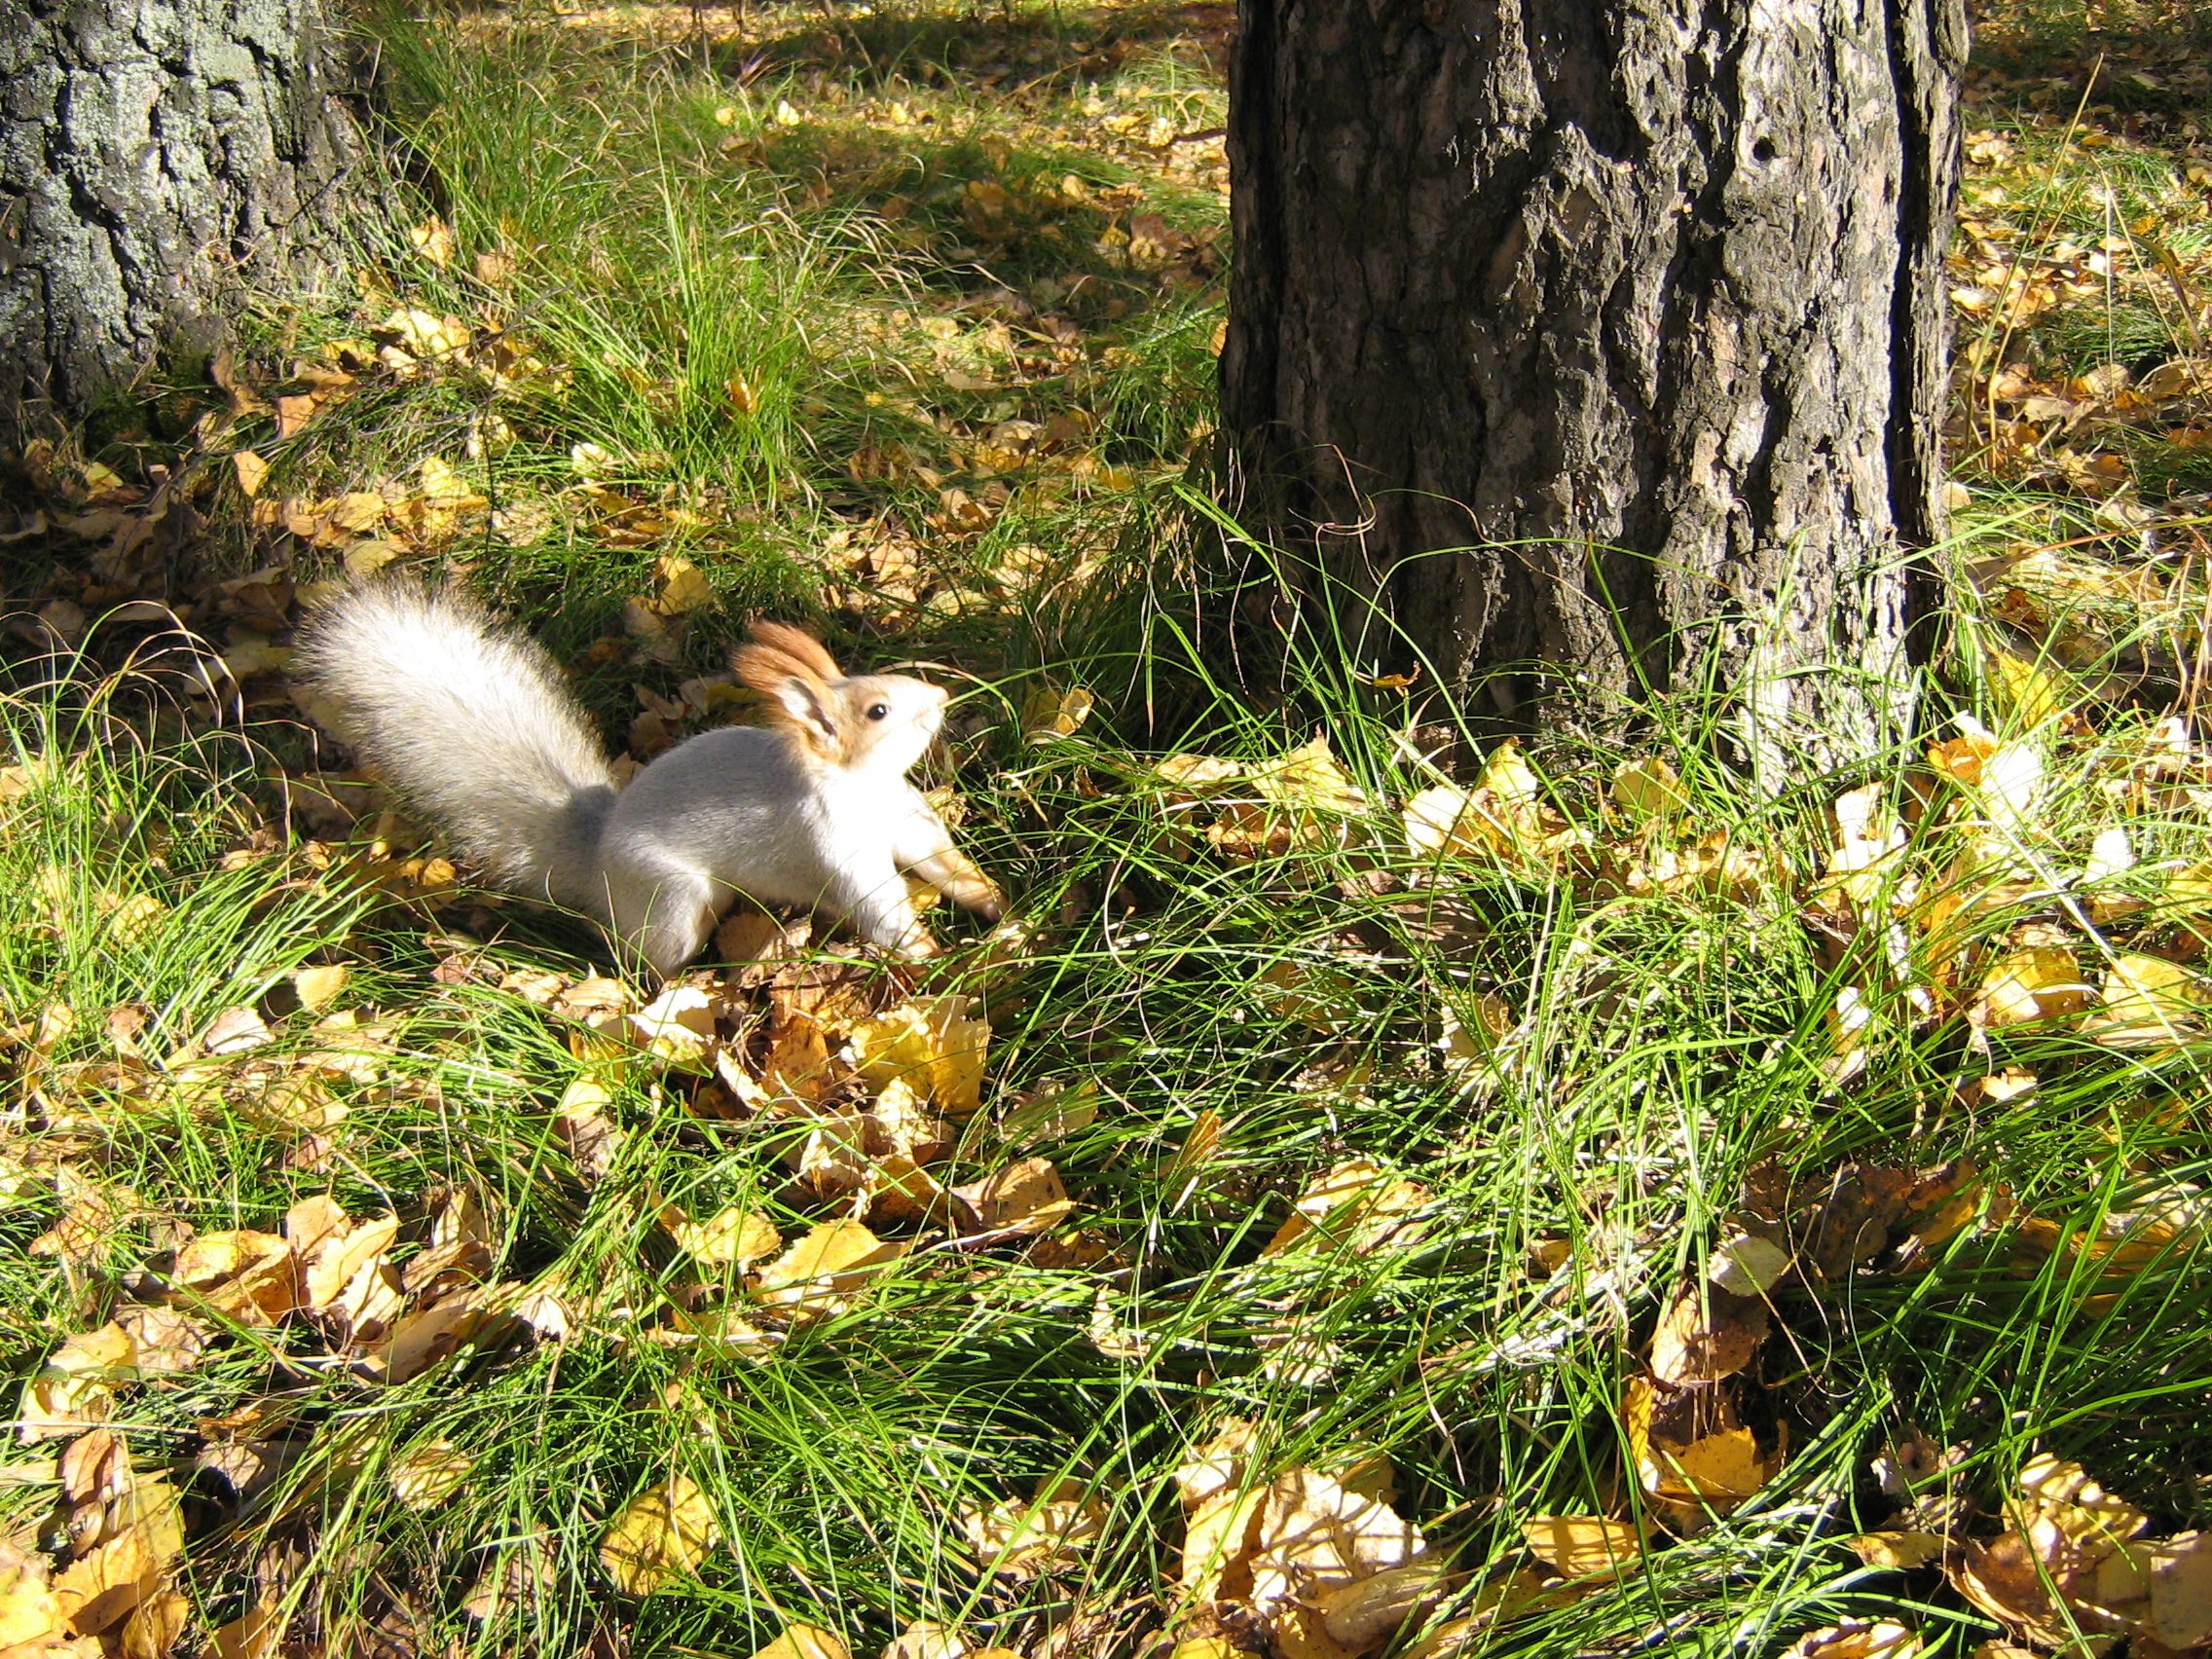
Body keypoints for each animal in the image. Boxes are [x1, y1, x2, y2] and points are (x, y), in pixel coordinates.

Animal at [294, 580, 1002, 979]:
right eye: (878, 710)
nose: (941, 695)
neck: (862, 787)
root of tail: (600, 864)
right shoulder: (831, 845)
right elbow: (879, 908)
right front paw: (940, 960)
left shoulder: (903, 821)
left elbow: (938, 861)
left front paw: (991, 903)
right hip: (674, 900)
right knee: (644, 960)